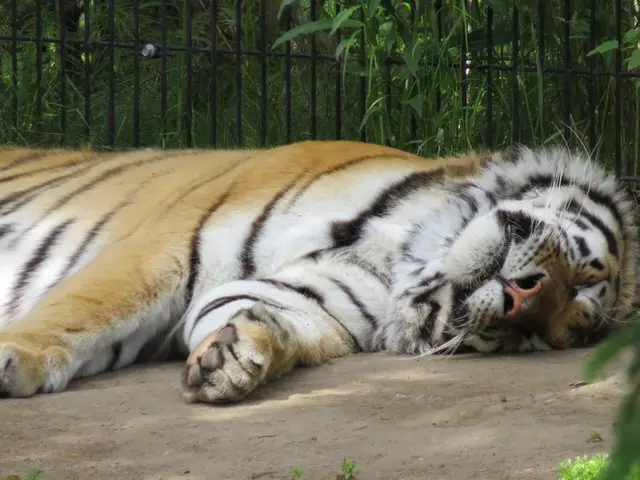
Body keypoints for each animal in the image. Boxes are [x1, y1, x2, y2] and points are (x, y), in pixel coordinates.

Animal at [0, 140, 636, 404]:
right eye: (582, 278)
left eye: (533, 337)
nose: (525, 304)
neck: (401, 254)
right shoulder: (167, 248)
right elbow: (83, 309)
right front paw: (15, 360)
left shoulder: (302, 298)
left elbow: (268, 322)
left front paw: (234, 359)